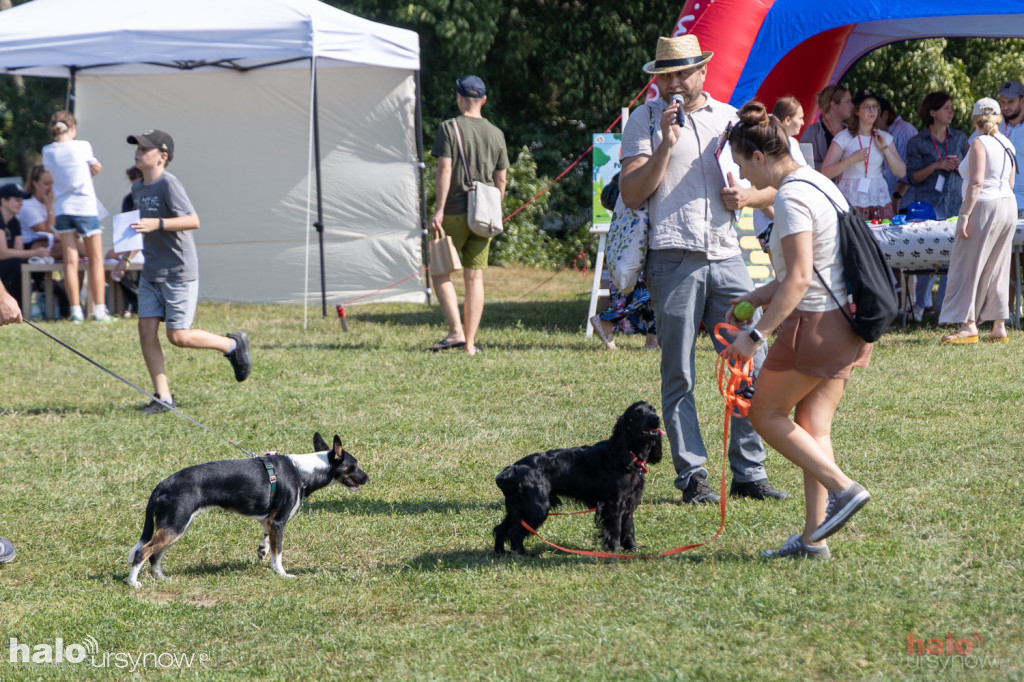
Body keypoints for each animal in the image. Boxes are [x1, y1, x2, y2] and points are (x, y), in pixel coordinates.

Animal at [129, 430, 368, 585]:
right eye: (354, 465)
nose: (368, 478)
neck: (303, 470)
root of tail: (162, 484)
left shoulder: (269, 520)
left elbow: (267, 541)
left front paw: (262, 550)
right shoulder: (278, 521)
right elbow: (278, 554)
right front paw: (282, 574)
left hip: (176, 527)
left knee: (155, 556)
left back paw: (161, 578)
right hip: (174, 526)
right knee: (143, 552)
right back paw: (133, 583)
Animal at [493, 399, 663, 552]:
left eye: (653, 409)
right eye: (638, 413)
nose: (656, 418)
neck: (627, 455)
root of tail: (514, 469)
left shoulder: (629, 502)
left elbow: (629, 528)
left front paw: (633, 548)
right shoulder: (614, 503)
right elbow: (615, 529)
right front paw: (615, 550)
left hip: (518, 509)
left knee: (501, 529)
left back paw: (501, 552)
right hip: (537, 509)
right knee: (515, 532)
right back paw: (523, 553)